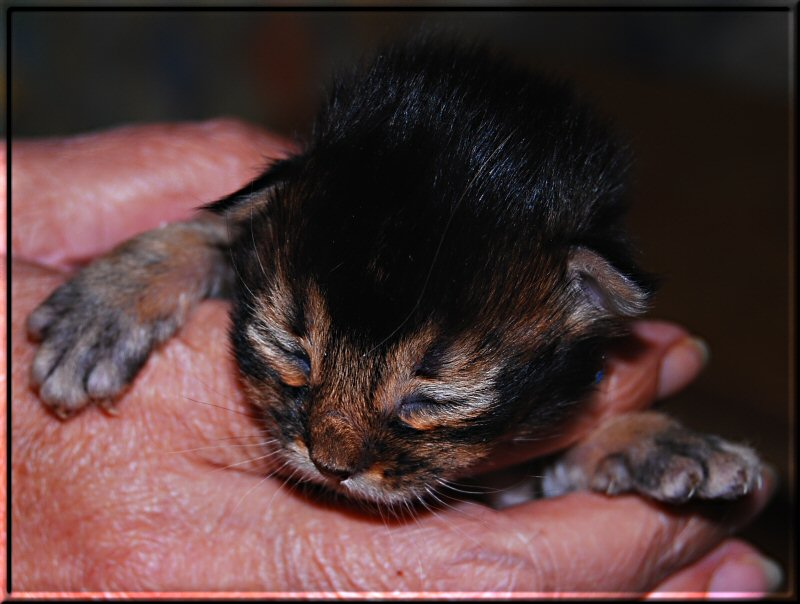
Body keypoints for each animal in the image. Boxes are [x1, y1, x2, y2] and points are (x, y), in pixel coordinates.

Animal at [26, 36, 764, 504]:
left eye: (433, 399)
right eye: (290, 351)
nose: (331, 466)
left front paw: (659, 441)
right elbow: (208, 232)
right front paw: (100, 312)